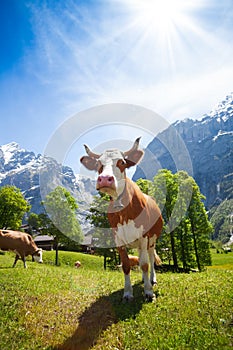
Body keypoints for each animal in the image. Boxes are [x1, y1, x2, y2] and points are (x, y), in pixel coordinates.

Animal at [80, 137, 162, 300]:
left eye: (122, 162)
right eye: (98, 164)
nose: (105, 179)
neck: (124, 212)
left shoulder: (144, 235)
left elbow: (145, 264)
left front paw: (149, 292)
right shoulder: (118, 238)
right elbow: (126, 265)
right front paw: (128, 293)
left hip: (152, 239)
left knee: (150, 258)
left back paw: (152, 279)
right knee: (141, 257)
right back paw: (143, 279)